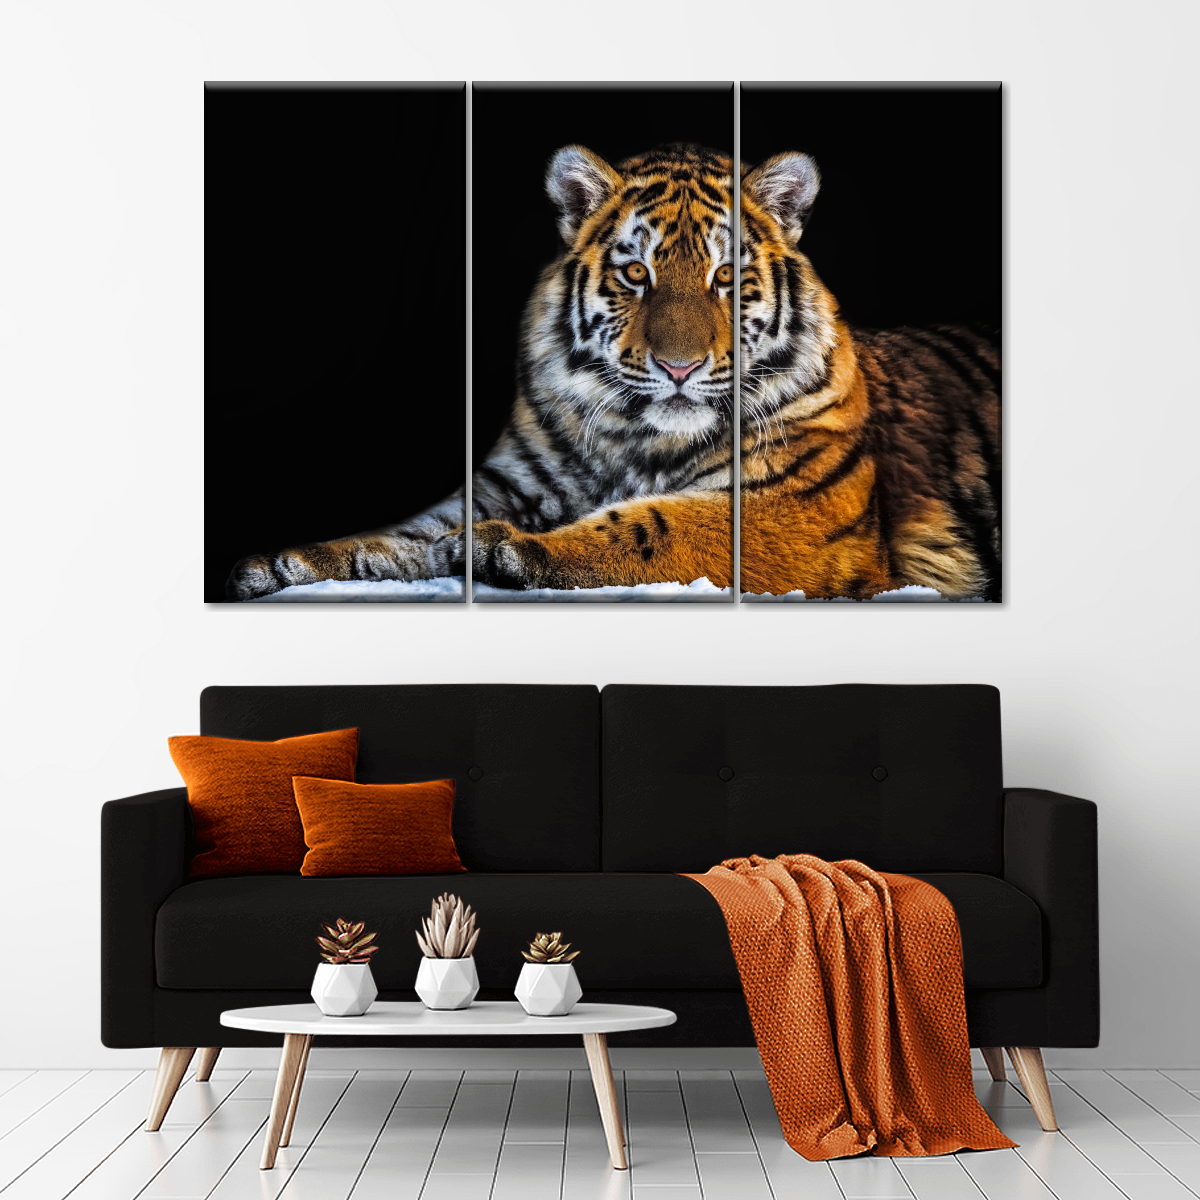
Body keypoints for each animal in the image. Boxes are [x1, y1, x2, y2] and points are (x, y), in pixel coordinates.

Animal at [225, 142, 999, 602]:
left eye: (727, 277)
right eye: (636, 274)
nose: (680, 367)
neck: (636, 440)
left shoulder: (795, 510)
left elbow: (659, 525)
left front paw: (507, 550)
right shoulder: (504, 483)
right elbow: (403, 533)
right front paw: (290, 562)